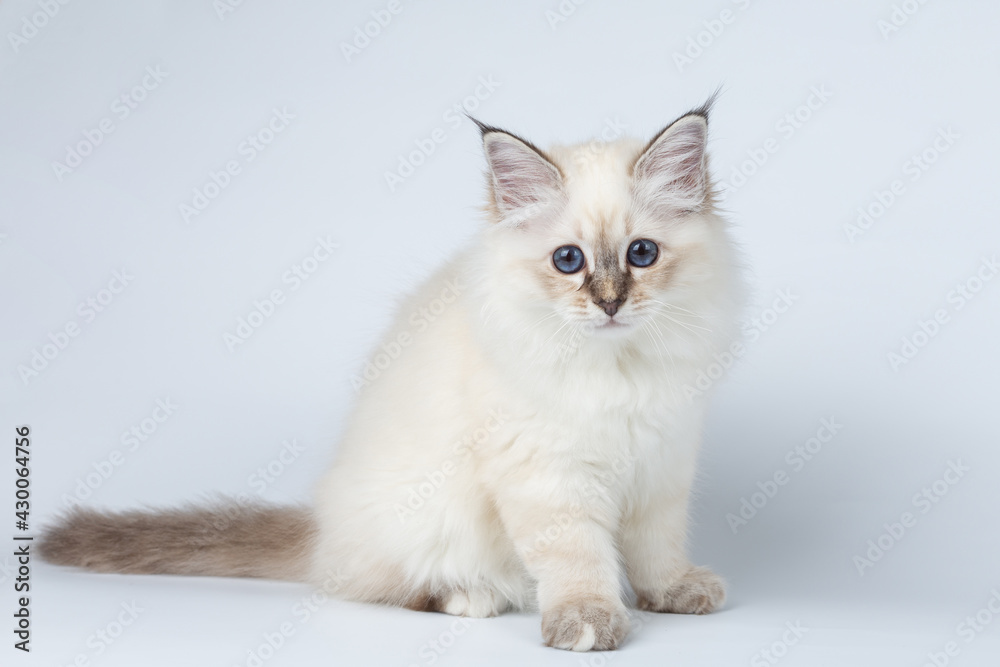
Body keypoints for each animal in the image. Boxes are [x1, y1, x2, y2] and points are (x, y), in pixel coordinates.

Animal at [41, 99, 744, 652]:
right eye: (568, 261)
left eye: (641, 254)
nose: (609, 303)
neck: (618, 370)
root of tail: (321, 531)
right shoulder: (550, 476)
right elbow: (578, 560)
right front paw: (588, 621)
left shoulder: (662, 463)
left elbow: (656, 548)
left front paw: (670, 593)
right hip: (423, 520)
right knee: (381, 586)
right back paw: (469, 596)